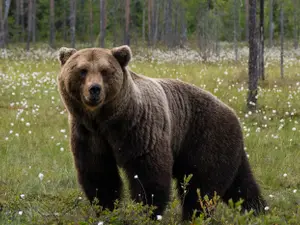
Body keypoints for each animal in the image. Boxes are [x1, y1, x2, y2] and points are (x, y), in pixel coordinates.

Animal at [57, 44, 266, 221]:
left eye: (105, 71)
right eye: (82, 70)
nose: (95, 89)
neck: (106, 120)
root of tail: (233, 114)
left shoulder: (140, 129)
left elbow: (149, 173)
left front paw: (147, 211)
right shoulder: (88, 134)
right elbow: (99, 173)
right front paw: (106, 209)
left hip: (206, 136)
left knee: (202, 186)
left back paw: (192, 216)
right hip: (225, 147)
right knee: (241, 184)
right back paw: (258, 209)